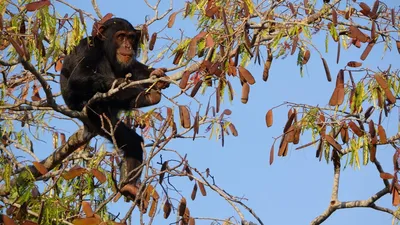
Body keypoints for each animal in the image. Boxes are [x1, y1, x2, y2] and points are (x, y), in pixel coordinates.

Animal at [59, 16, 167, 187]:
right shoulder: (89, 49)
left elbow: (131, 67)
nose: (127, 45)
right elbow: (78, 77)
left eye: (131, 37)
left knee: (133, 143)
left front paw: (156, 75)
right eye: (121, 36)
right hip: (94, 116)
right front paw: (118, 83)